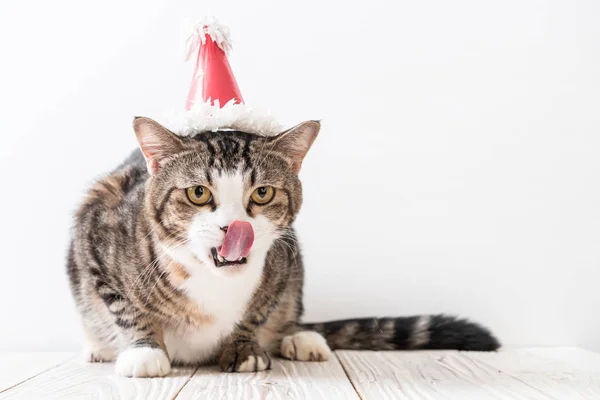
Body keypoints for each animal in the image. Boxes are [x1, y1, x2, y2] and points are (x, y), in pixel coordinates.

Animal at [65, 117, 500, 376]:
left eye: (262, 193)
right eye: (198, 193)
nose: (234, 227)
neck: (213, 283)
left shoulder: (284, 263)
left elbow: (258, 311)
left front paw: (245, 345)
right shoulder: (96, 233)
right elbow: (124, 306)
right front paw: (144, 349)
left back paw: (299, 338)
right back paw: (98, 348)